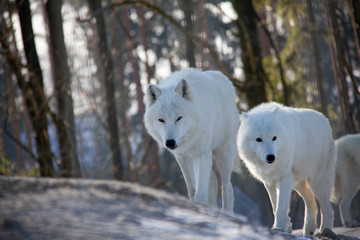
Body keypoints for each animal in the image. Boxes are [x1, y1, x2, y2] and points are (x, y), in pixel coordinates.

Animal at [143, 68, 239, 212]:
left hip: (223, 154)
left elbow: (200, 193)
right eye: (161, 120)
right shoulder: (182, 157)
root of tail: (224, 77)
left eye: (179, 118)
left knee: (227, 187)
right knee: (212, 180)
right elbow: (193, 190)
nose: (170, 142)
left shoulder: (202, 153)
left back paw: (227, 211)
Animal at [238, 101, 336, 234]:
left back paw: (325, 230)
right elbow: (275, 206)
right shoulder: (269, 183)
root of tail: (326, 120)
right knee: (311, 203)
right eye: (259, 139)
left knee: (327, 208)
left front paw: (278, 227)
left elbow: (281, 207)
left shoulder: (284, 179)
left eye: (274, 138)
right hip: (297, 184)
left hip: (317, 184)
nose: (271, 157)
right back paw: (309, 229)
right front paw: (287, 227)